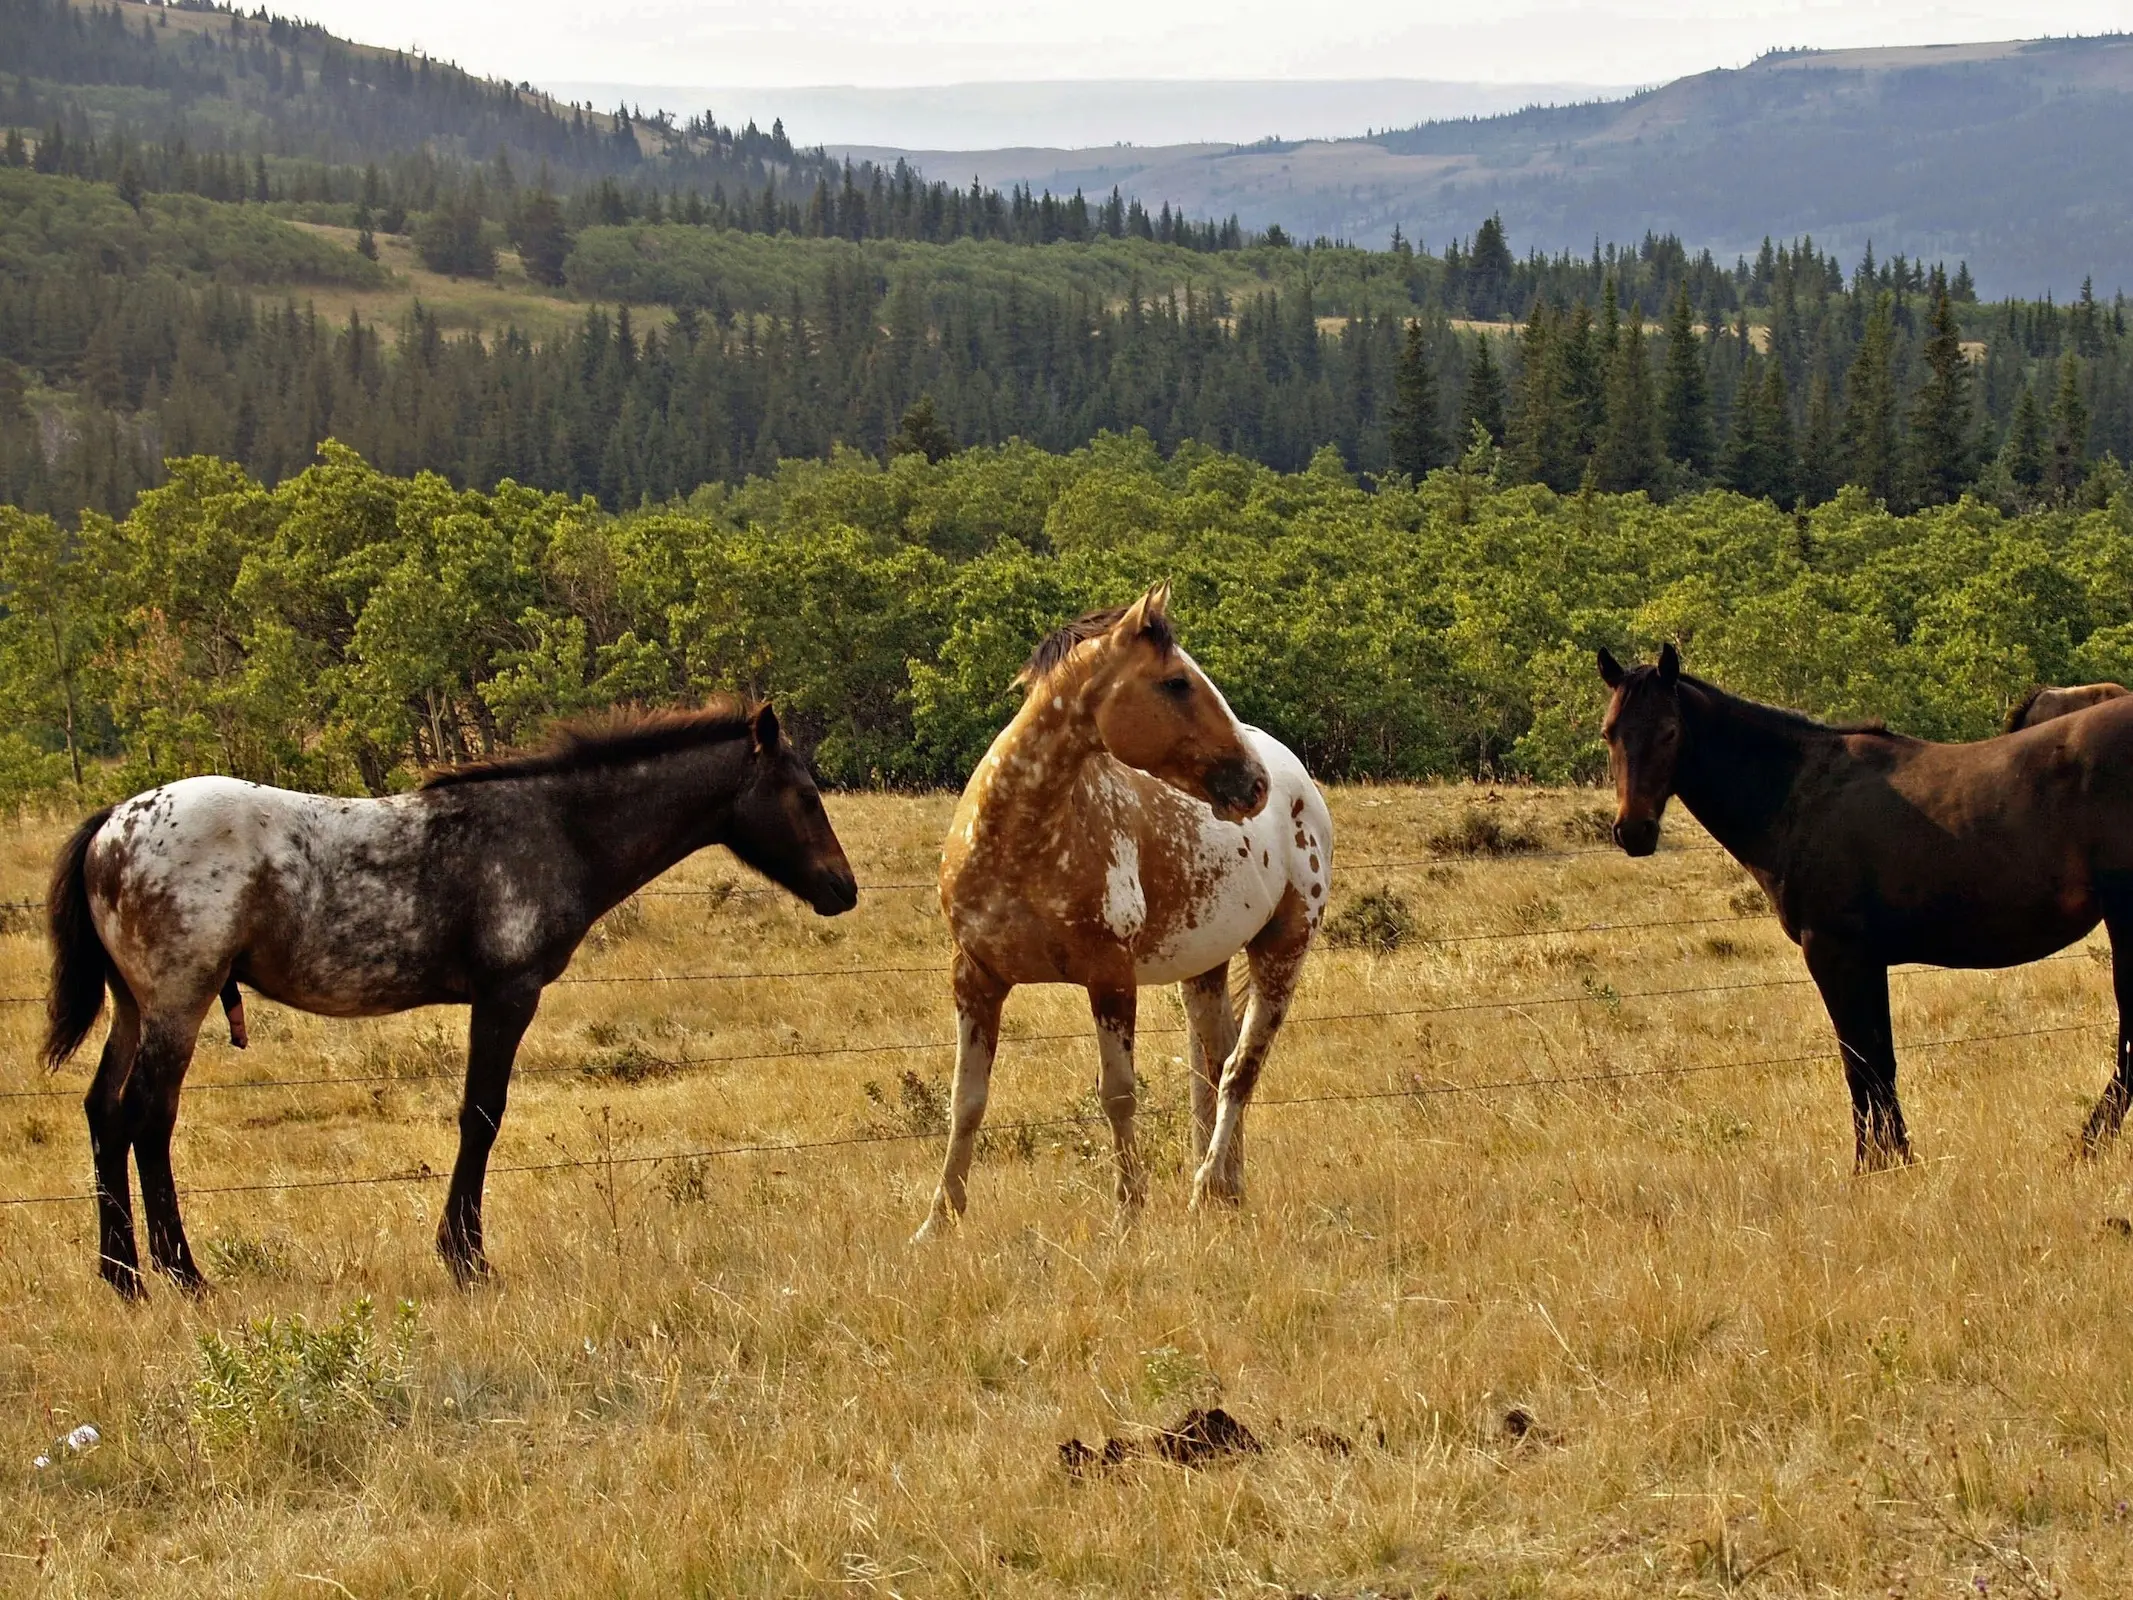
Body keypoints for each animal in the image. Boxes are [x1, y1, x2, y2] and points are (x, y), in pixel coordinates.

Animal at [45, 704, 853, 1305]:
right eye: (805, 796)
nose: (842, 889)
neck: (554, 828)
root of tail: (113, 824)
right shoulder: (507, 995)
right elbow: (481, 1116)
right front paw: (466, 1259)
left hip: (133, 1008)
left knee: (105, 1113)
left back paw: (122, 1277)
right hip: (178, 1004)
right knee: (149, 1117)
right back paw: (182, 1274)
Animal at [917, 580, 1330, 1237]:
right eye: (1176, 682)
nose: (1253, 784)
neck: (1022, 841)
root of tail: (1301, 784)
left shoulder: (1109, 979)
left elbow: (1118, 1094)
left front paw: (1129, 1212)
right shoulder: (975, 978)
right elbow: (967, 1100)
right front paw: (938, 1221)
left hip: (1283, 950)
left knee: (1241, 1069)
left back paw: (1205, 1186)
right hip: (1205, 969)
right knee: (1214, 1066)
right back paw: (1224, 1191)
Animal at [1595, 644, 2133, 1169]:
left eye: (1669, 732)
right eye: (1609, 733)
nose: (1634, 832)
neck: (1797, 792)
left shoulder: (1835, 954)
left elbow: (1860, 1064)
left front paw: (1870, 1166)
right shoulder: (1866, 961)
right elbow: (1879, 1060)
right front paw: (1898, 1159)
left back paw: (2084, 1148)